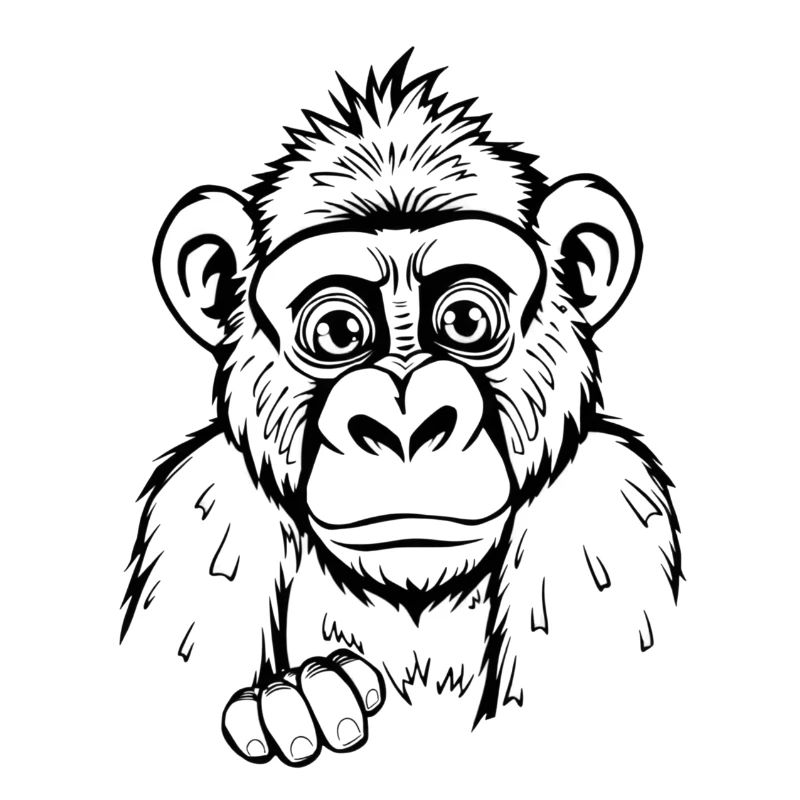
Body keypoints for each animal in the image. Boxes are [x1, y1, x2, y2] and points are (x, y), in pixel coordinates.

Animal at [121, 51, 682, 767]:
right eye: (337, 331)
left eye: (466, 319)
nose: (405, 425)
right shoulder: (198, 515)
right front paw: (302, 701)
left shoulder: (609, 512)